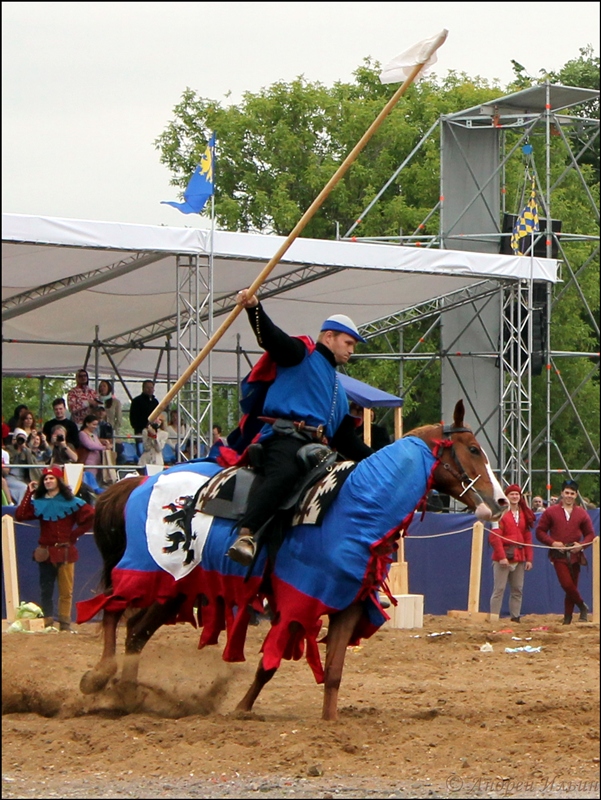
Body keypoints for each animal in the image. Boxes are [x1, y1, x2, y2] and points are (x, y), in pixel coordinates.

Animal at [77, 404, 504, 720]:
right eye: (472, 449)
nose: (501, 501)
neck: (354, 507)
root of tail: (137, 482)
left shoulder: (347, 603)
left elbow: (333, 673)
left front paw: (328, 721)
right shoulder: (299, 600)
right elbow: (270, 662)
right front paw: (242, 708)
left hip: (175, 587)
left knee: (135, 632)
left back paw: (128, 694)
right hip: (145, 570)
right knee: (112, 610)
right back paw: (99, 677)